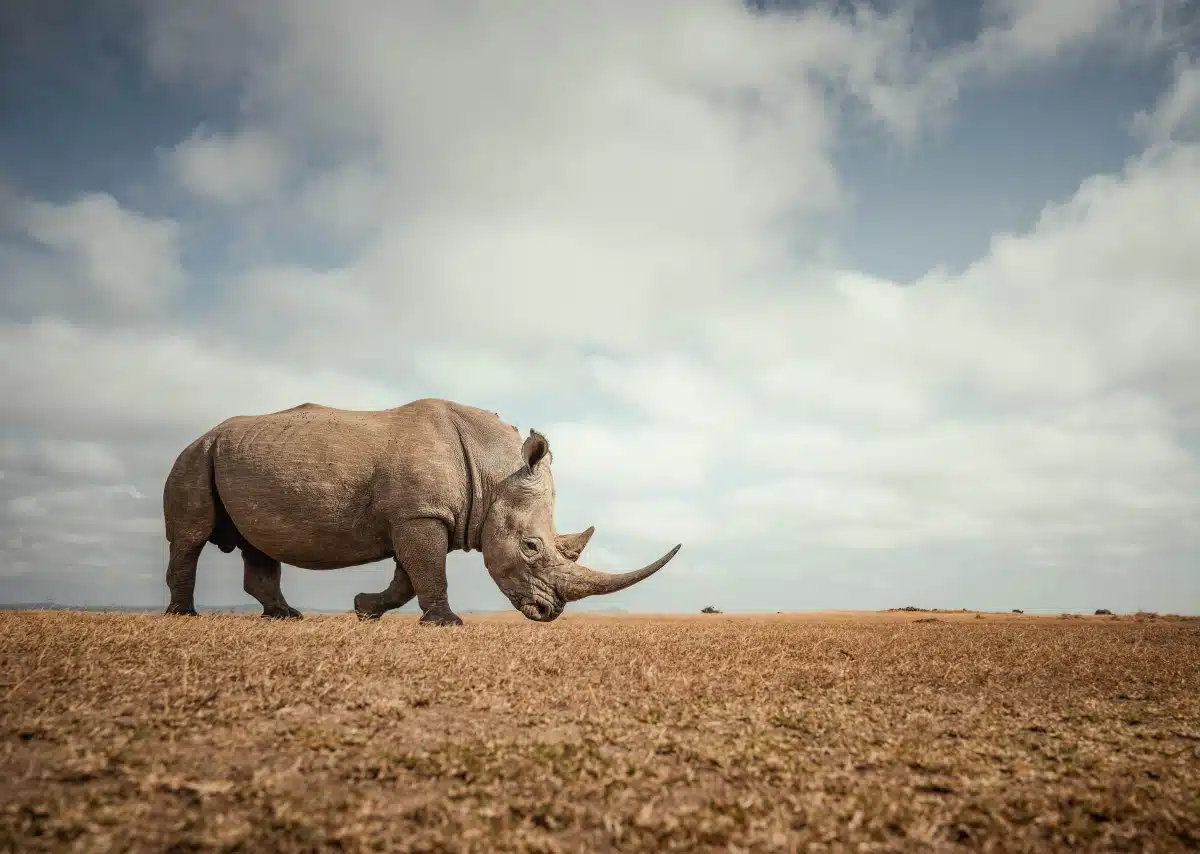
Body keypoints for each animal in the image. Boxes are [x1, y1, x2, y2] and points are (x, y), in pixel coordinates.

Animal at [162, 395, 686, 623]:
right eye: (532, 547)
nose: (549, 612)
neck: (495, 473)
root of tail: (204, 433)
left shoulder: (415, 513)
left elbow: (408, 577)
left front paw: (364, 609)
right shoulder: (420, 514)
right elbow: (428, 571)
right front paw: (447, 624)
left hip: (233, 455)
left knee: (258, 544)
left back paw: (284, 616)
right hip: (195, 455)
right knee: (189, 538)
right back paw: (183, 616)